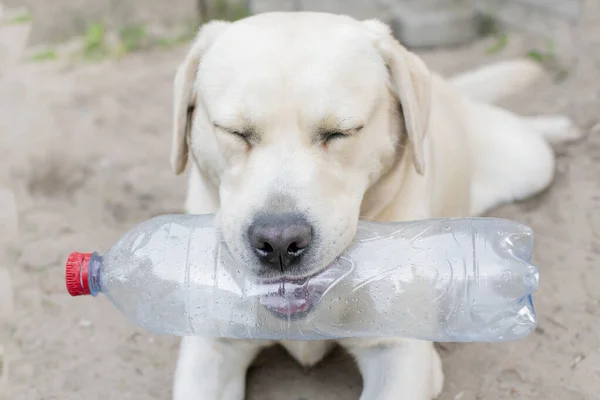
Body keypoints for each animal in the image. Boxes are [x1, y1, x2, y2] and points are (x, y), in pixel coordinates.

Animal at [166, 10, 580, 398]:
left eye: (341, 132)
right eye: (234, 132)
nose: (280, 243)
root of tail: (447, 90)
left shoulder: (400, 353)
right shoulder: (210, 345)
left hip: (529, 161)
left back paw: (556, 127)